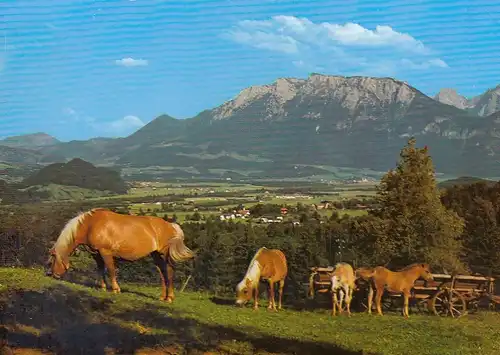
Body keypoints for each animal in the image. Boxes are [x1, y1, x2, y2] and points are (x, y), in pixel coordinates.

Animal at [47, 209, 194, 304]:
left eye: (52, 258)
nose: (52, 274)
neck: (90, 224)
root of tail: (171, 225)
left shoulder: (105, 252)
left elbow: (111, 270)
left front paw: (115, 289)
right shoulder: (97, 254)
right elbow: (101, 270)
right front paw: (103, 287)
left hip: (164, 254)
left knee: (169, 272)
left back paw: (169, 298)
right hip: (155, 255)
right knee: (162, 273)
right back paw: (163, 297)